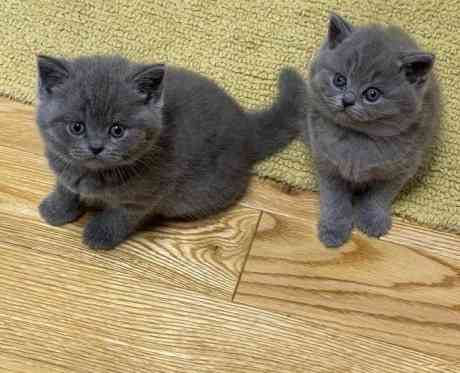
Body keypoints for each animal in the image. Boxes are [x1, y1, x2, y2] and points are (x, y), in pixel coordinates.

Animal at [37, 53, 308, 248]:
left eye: (117, 130)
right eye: (77, 127)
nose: (96, 147)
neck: (93, 173)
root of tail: (246, 126)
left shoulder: (145, 195)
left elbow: (120, 215)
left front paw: (100, 234)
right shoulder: (63, 167)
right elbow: (64, 189)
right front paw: (55, 210)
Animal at [302, 13, 438, 247]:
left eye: (372, 94)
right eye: (339, 80)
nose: (347, 100)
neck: (357, 137)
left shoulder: (400, 169)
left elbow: (379, 196)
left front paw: (372, 220)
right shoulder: (326, 163)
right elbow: (334, 198)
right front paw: (333, 229)